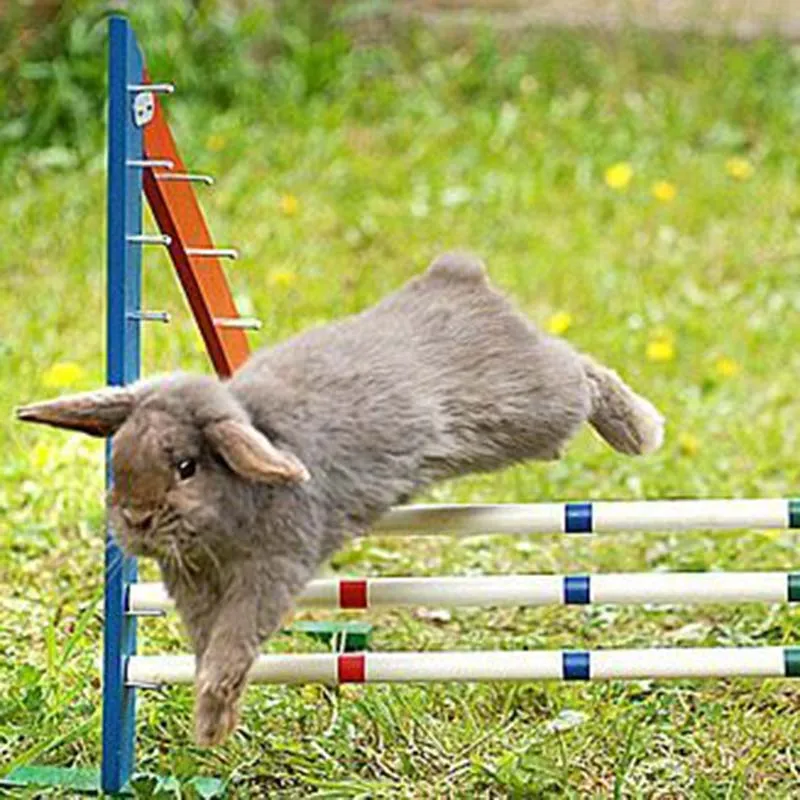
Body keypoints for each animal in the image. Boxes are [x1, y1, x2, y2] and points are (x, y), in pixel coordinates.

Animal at [17, 252, 664, 745]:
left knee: (582, 372)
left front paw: (209, 729)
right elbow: (207, 648)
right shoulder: (195, 589)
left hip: (536, 405)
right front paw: (214, 723)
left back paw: (642, 430)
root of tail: (460, 276)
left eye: (186, 467)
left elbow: (231, 647)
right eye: (118, 458)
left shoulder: (269, 573)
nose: (136, 519)